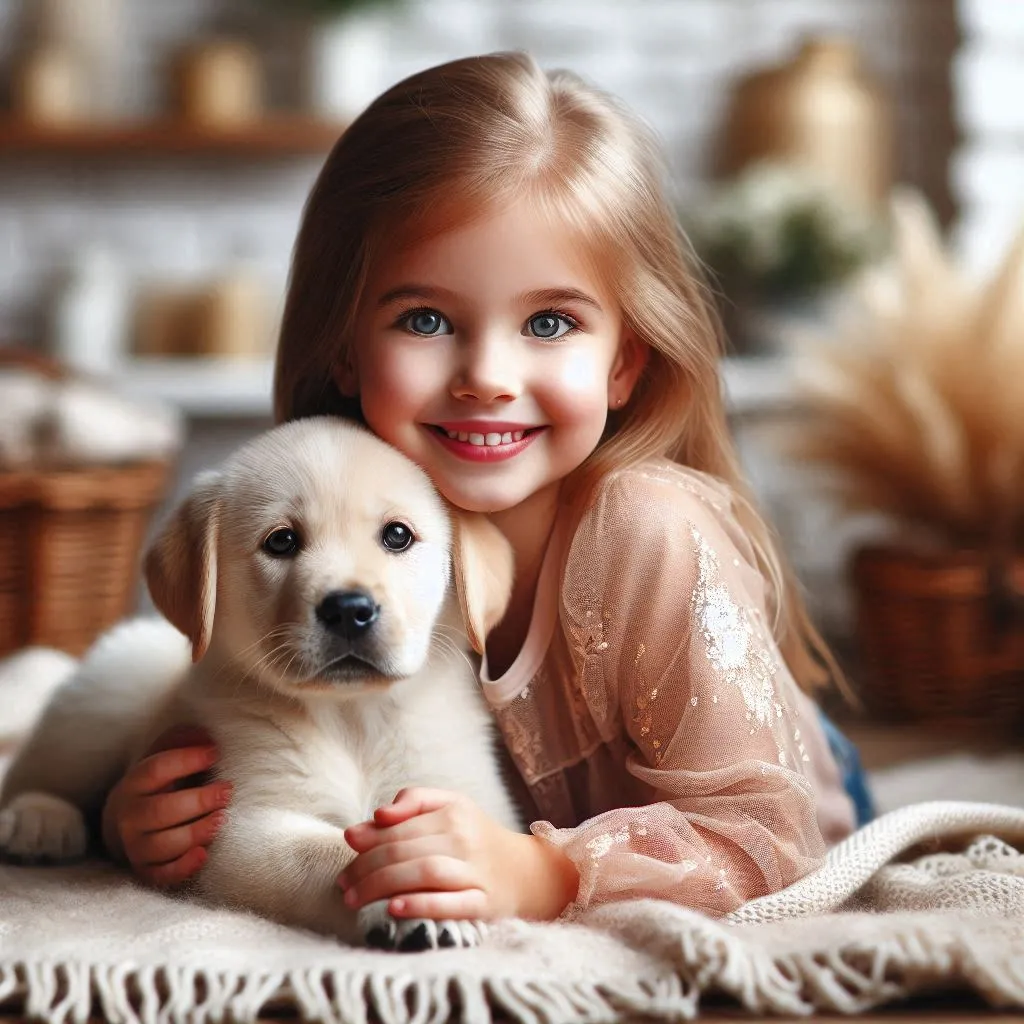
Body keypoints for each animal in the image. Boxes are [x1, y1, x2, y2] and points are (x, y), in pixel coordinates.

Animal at [0, 415, 524, 950]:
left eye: (397, 535)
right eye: (281, 541)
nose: (349, 610)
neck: (354, 716)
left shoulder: (467, 797)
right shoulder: (242, 826)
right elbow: (334, 850)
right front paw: (411, 894)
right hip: (104, 697)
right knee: (34, 772)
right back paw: (38, 820)